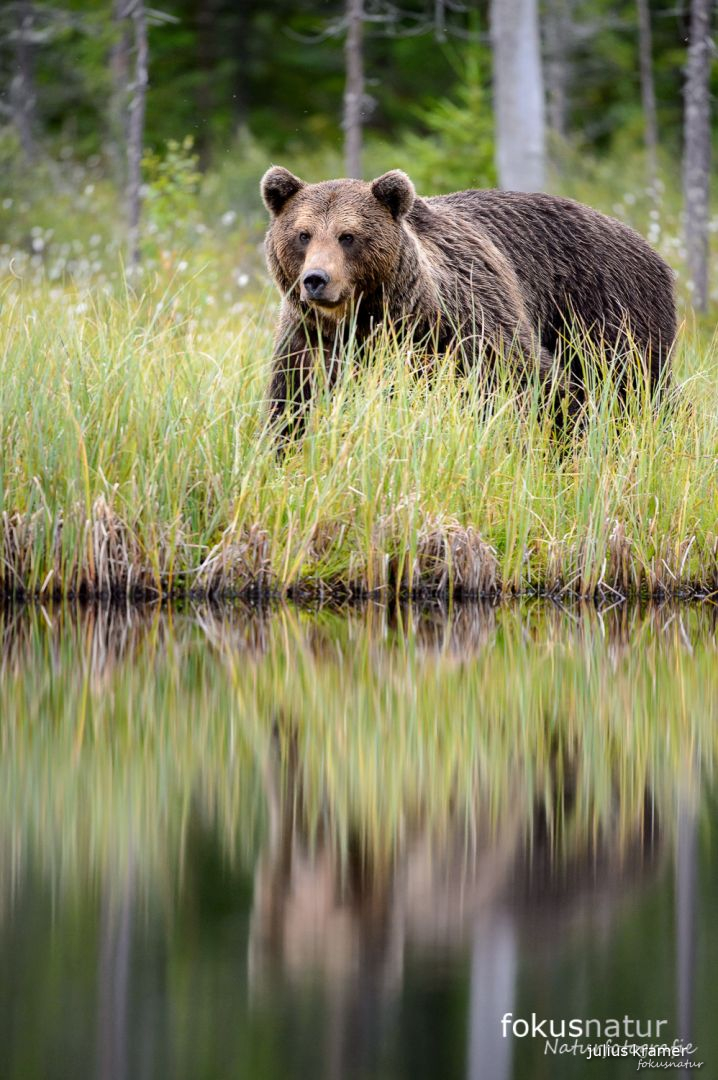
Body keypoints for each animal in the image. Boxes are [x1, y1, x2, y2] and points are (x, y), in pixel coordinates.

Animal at [260, 166, 673, 436]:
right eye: (303, 234)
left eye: (347, 236)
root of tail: (646, 244)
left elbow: (533, 382)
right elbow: (291, 407)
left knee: (634, 385)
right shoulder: (310, 344)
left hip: (608, 310)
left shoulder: (468, 323)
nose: (316, 280)